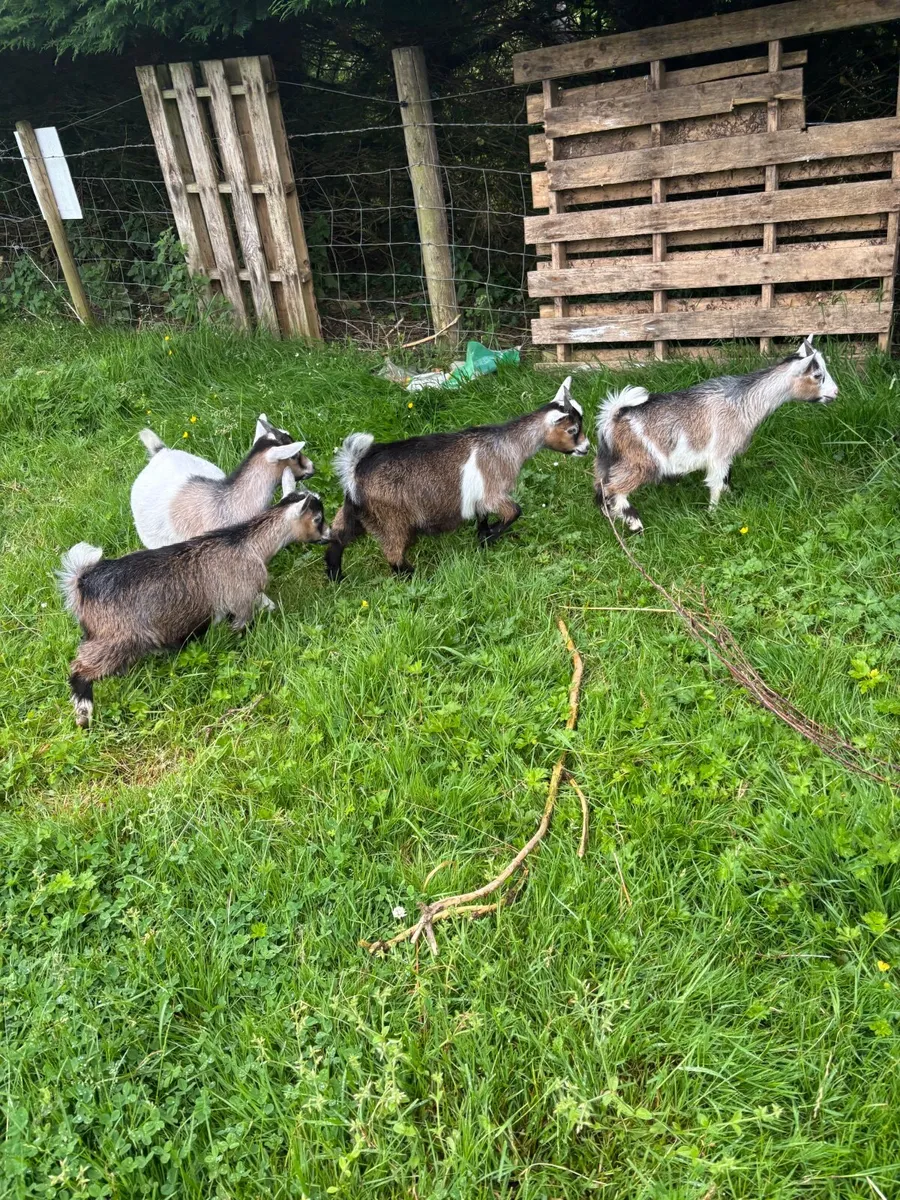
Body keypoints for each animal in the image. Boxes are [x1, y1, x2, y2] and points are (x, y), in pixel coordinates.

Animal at [59, 475, 331, 728]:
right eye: (318, 519)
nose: (329, 535)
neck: (248, 543)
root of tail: (83, 582)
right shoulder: (241, 598)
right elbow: (240, 626)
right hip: (115, 638)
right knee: (81, 667)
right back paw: (84, 711)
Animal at [325, 377, 589, 579]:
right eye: (572, 430)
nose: (586, 448)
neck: (508, 445)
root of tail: (355, 470)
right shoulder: (493, 491)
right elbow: (515, 511)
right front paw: (490, 536)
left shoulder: (479, 496)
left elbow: (483, 517)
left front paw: (483, 538)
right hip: (392, 518)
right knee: (393, 553)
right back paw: (413, 576)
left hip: (356, 512)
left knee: (337, 538)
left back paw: (336, 576)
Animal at [594, 335, 839, 533]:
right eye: (818, 375)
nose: (835, 392)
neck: (745, 402)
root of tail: (614, 417)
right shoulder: (719, 453)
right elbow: (715, 483)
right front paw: (713, 514)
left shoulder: (726, 454)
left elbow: (725, 479)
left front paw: (732, 500)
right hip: (640, 462)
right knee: (614, 490)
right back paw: (635, 524)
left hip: (607, 461)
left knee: (600, 488)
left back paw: (612, 519)